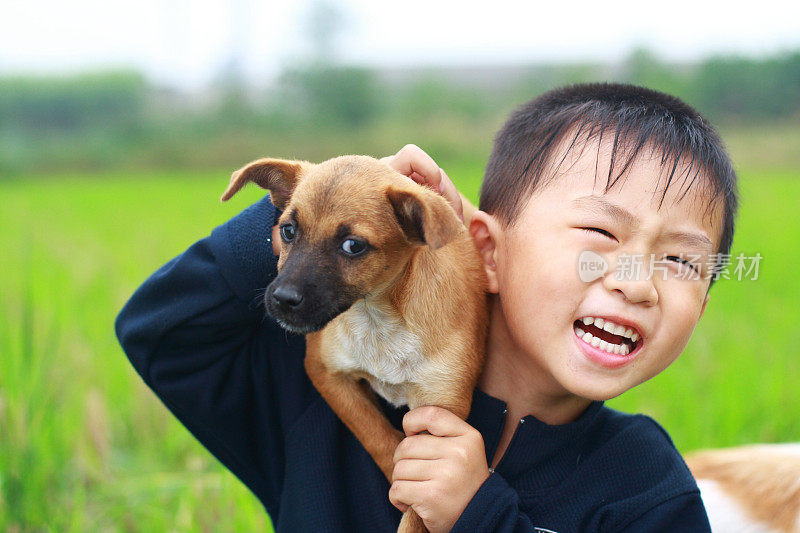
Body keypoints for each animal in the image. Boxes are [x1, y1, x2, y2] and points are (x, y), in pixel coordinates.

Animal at [222, 153, 490, 528]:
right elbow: (377, 436)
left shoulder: (440, 415)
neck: (379, 319)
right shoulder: (326, 372)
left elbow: (418, 512)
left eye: (353, 246)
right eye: (287, 231)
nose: (282, 299)